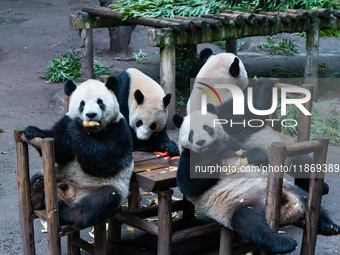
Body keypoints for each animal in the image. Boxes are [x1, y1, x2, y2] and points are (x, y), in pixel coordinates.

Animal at [23, 78, 133, 229]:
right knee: (38, 176)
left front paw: (78, 126)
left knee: (99, 202)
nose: (91, 115)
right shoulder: (66, 122)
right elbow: (60, 148)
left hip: (110, 187)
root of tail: (72, 195)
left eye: (100, 102)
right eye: (82, 103)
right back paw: (36, 191)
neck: (93, 131)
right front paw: (33, 130)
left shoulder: (119, 130)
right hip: (57, 178)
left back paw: (64, 210)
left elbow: (105, 160)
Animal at [174, 110, 338, 255]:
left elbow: (258, 157)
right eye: (191, 133)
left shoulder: (234, 143)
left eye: (206, 127)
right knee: (252, 225)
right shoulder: (188, 156)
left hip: (291, 189)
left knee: (310, 202)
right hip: (237, 206)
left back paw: (329, 226)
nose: (200, 142)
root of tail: (287, 211)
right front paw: (217, 147)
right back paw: (284, 243)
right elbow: (190, 185)